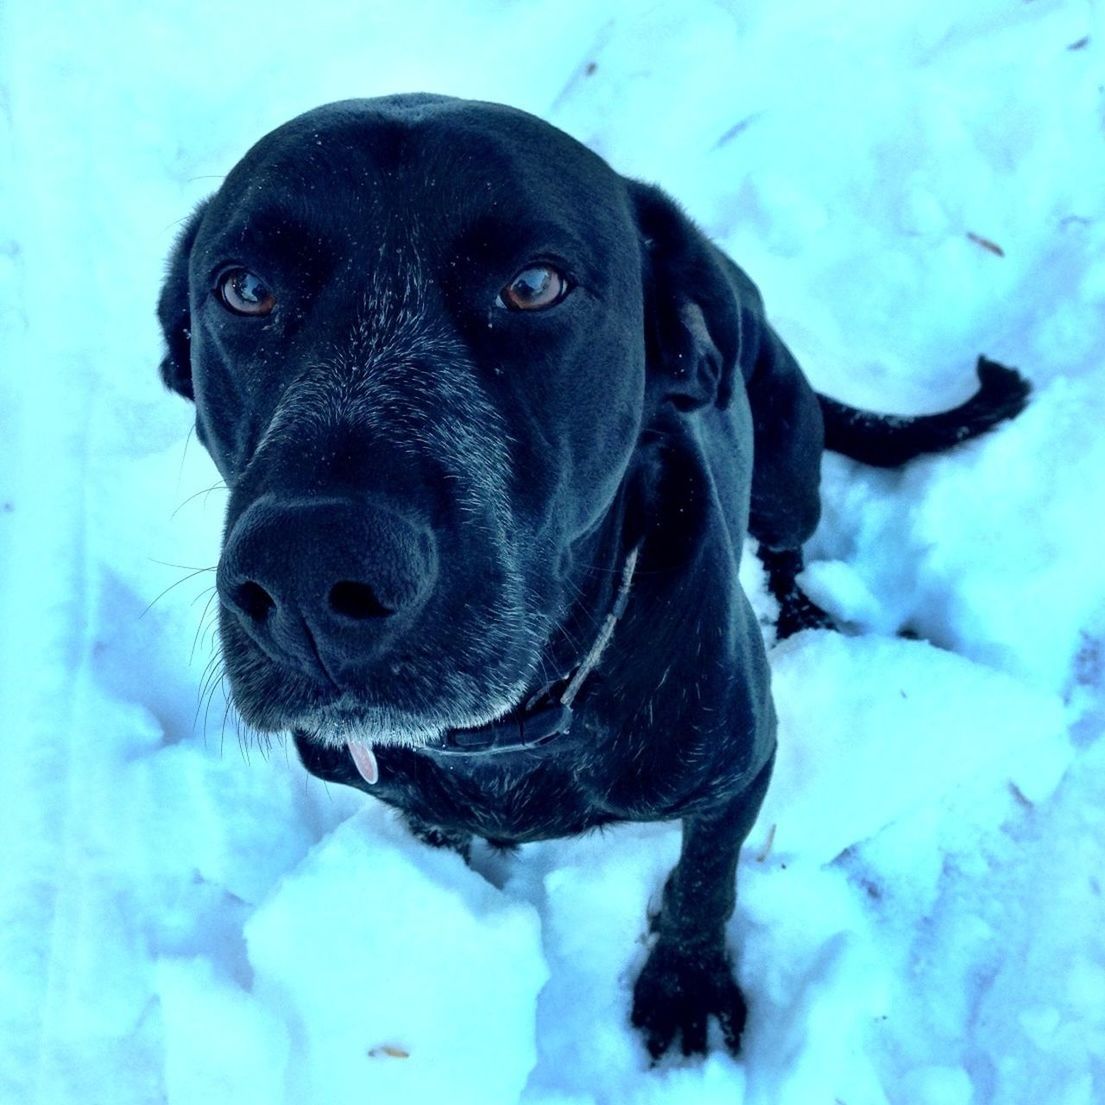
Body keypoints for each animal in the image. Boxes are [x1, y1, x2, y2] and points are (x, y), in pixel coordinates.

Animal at [158, 97, 1025, 1060]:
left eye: (535, 285)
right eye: (244, 290)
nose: (310, 572)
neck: (516, 726)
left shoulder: (738, 771)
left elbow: (703, 881)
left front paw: (686, 985)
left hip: (786, 465)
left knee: (786, 550)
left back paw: (806, 620)